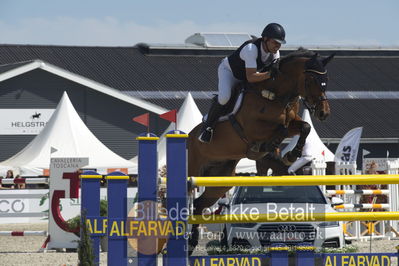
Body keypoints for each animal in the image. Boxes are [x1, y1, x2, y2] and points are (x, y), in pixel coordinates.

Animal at [187, 48, 334, 252]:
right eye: (311, 80)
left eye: (326, 80)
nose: (323, 113)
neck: (277, 94)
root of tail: (188, 138)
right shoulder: (253, 128)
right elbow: (280, 128)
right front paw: (273, 149)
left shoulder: (292, 121)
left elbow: (304, 127)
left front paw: (291, 154)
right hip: (192, 169)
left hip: (220, 180)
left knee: (199, 205)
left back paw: (191, 243)